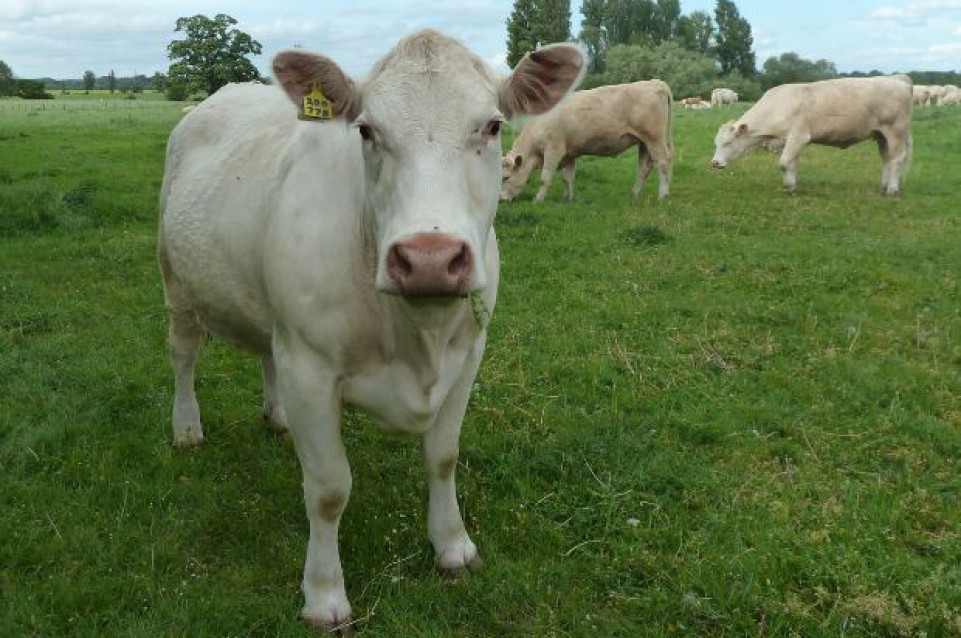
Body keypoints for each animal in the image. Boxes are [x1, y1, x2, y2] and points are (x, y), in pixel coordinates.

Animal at [156, 28, 584, 632]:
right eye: (366, 130)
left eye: (493, 125)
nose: (430, 258)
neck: (417, 336)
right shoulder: (309, 366)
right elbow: (329, 489)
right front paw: (324, 595)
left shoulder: (469, 354)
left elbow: (443, 456)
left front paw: (453, 547)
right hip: (176, 279)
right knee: (184, 354)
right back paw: (187, 427)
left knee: (265, 351)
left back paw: (276, 416)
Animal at [708, 76, 912, 195]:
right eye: (716, 143)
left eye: (728, 143)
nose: (715, 163)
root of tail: (900, 81)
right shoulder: (788, 141)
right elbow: (791, 163)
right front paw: (791, 185)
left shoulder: (798, 136)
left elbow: (784, 162)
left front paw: (788, 187)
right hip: (881, 135)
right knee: (886, 159)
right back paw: (884, 186)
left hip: (896, 132)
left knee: (896, 160)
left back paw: (892, 190)